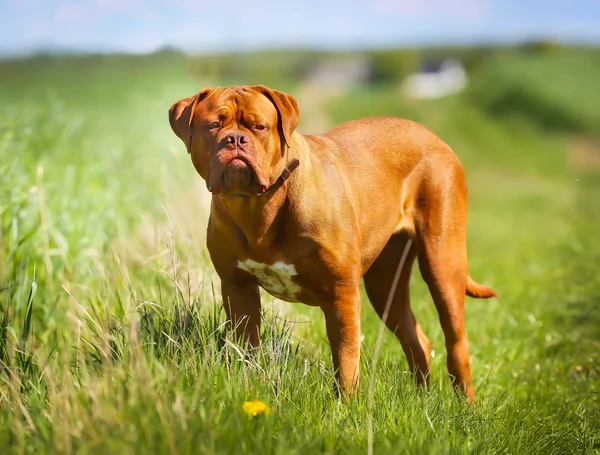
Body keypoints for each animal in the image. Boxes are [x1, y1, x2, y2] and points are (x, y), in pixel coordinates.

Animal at [166, 85, 494, 402]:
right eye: (213, 125)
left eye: (259, 126)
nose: (235, 139)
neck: (258, 207)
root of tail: (434, 138)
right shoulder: (238, 289)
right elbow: (247, 349)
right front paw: (249, 385)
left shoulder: (341, 295)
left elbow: (346, 360)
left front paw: (344, 408)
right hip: (385, 283)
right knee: (416, 339)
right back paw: (423, 400)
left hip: (443, 263)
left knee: (456, 343)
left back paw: (467, 407)